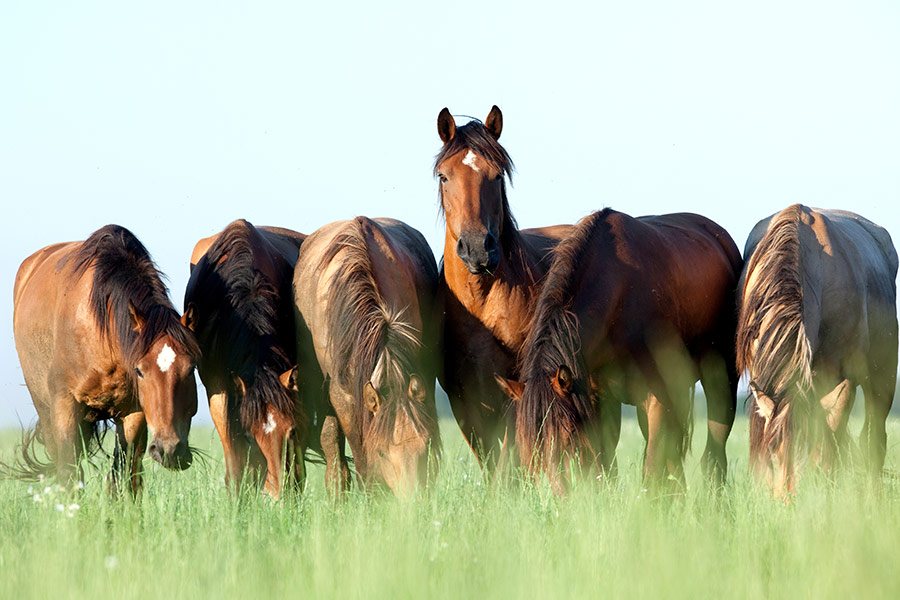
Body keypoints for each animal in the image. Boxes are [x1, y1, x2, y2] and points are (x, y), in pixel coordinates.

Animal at [11, 225, 200, 495]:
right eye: (140, 371)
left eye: (192, 367)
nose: (170, 449)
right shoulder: (65, 404)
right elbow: (69, 472)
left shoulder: (133, 412)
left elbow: (123, 476)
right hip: (45, 410)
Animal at [435, 105, 572, 471]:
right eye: (443, 176)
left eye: (497, 176)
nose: (477, 249)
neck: (481, 304)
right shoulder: (464, 399)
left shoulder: (515, 388)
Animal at [497, 208, 742, 494]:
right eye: (527, 444)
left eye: (568, 435)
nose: (558, 497)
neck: (618, 298)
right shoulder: (598, 400)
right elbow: (606, 466)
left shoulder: (657, 399)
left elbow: (652, 470)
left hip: (721, 382)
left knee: (714, 451)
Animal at [737, 204, 897, 497]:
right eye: (775, 454)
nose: (788, 502)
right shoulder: (761, 374)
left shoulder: (843, 381)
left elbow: (830, 441)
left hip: (883, 378)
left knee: (873, 442)